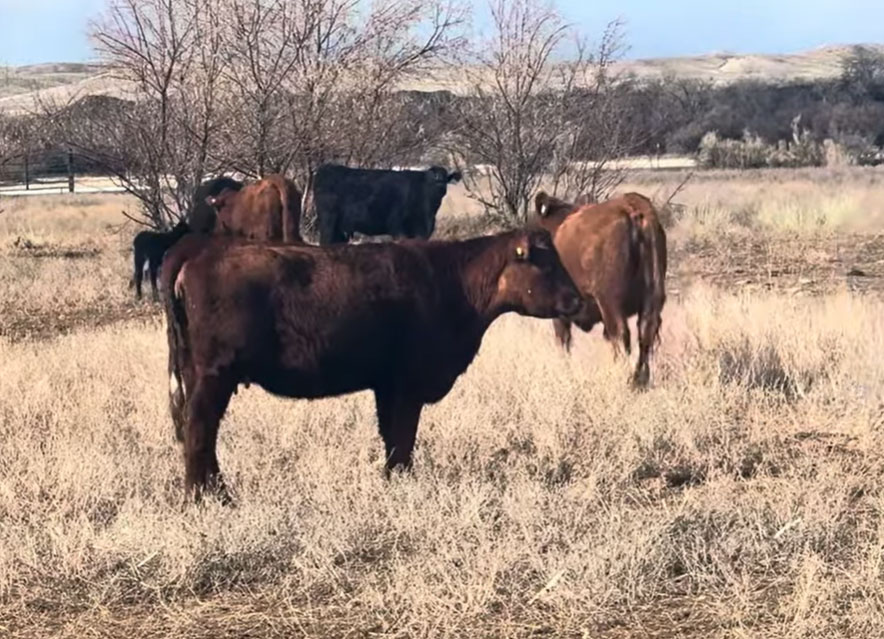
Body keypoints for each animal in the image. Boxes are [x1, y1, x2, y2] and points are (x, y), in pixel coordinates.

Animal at [161, 229, 582, 502]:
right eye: (546, 263)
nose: (578, 300)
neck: (452, 283)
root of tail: (200, 248)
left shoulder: (386, 386)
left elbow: (391, 436)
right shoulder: (407, 385)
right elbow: (403, 438)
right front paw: (402, 483)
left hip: (196, 374)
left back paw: (216, 491)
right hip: (214, 375)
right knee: (199, 430)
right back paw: (204, 498)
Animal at [313, 164, 462, 245]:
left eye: (446, 178)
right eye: (432, 177)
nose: (440, 185)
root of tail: (326, 168)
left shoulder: (422, 233)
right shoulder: (398, 229)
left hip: (340, 229)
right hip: (328, 223)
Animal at [532, 191, 667, 388]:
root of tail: (633, 206)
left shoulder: (560, 314)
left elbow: (563, 341)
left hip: (610, 301)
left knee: (621, 334)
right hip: (652, 298)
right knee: (645, 332)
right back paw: (640, 379)